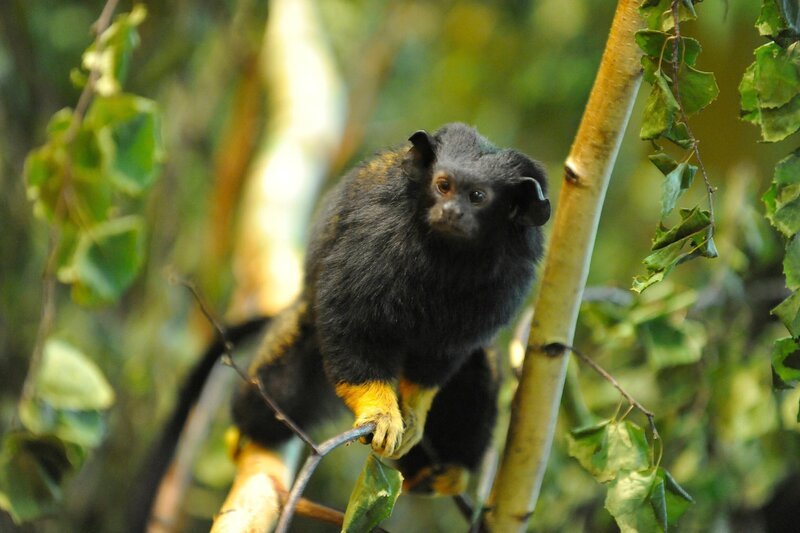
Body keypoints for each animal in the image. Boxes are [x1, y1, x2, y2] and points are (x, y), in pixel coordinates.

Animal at [232, 122, 550, 494]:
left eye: (477, 197)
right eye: (443, 185)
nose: (450, 211)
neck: (449, 254)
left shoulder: (507, 278)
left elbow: (444, 352)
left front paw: (413, 411)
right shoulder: (378, 234)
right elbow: (351, 320)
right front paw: (380, 411)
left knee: (478, 363)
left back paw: (442, 469)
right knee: (275, 386)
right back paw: (243, 431)